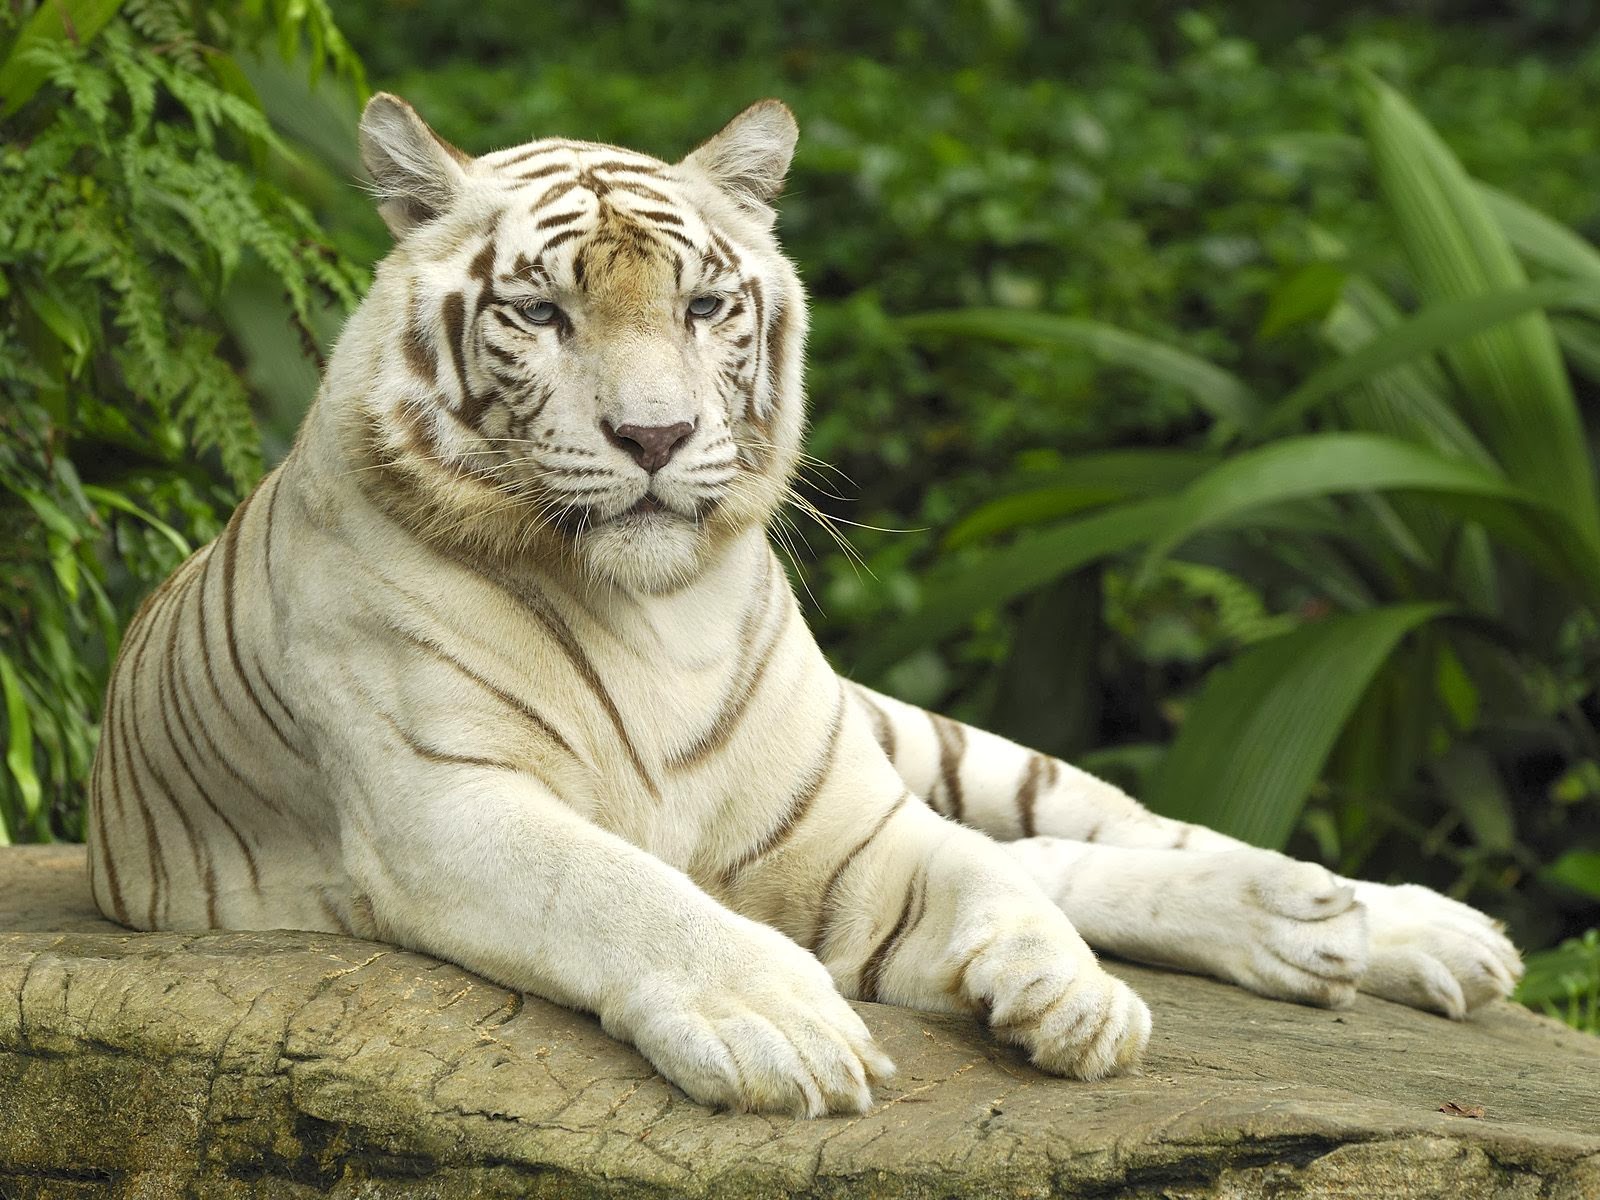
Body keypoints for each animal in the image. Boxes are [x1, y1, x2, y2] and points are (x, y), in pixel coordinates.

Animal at [87, 94, 1523, 1120]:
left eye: (705, 303)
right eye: (541, 313)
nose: (656, 436)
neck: (653, 613)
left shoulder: (844, 821)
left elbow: (984, 876)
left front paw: (1066, 997)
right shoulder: (445, 805)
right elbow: (619, 890)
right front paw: (782, 1027)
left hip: (921, 739)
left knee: (1085, 833)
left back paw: (1377, 923)